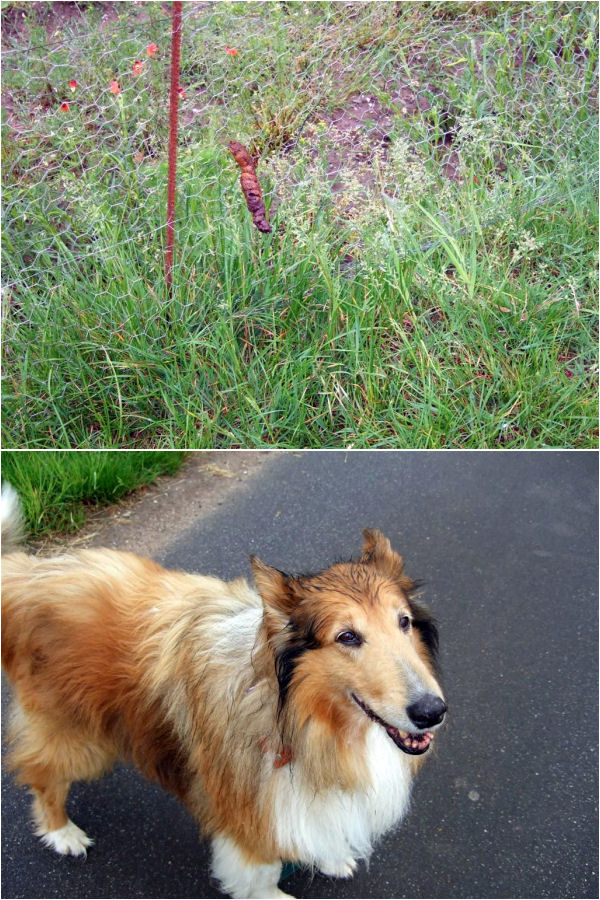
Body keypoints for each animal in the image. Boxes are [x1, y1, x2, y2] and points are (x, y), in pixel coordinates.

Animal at [1, 488, 446, 896]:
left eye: (404, 622)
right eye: (347, 636)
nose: (432, 711)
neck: (300, 718)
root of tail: (27, 574)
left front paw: (330, 856)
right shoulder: (247, 812)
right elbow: (261, 872)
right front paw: (274, 891)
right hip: (79, 737)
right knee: (41, 774)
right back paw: (62, 832)